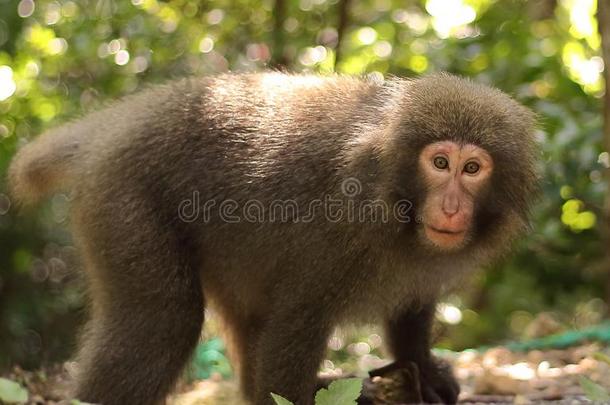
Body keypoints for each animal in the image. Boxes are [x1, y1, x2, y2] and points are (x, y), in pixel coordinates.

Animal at [5, 73, 536, 404]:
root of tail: (113, 127)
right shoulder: (341, 228)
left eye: (473, 169)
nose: (451, 206)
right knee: (163, 321)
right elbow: (297, 323)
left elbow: (412, 305)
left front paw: (419, 365)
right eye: (440, 163)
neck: (392, 192)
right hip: (122, 200)